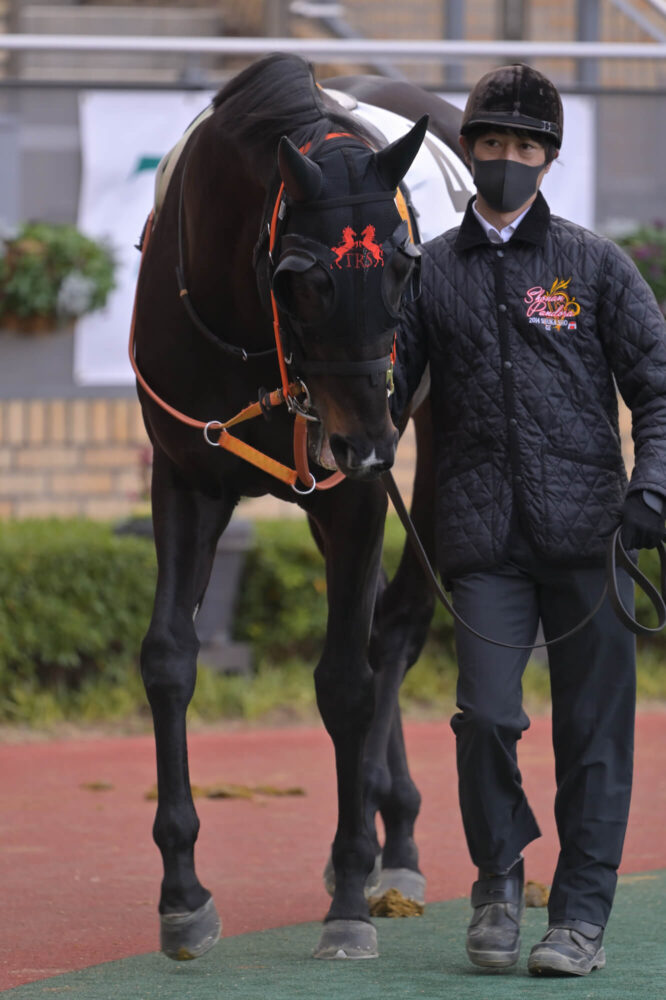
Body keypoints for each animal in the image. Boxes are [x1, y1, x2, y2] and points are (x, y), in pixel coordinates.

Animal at [130, 52, 462, 960]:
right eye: (297, 280)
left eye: (406, 265)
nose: (367, 440)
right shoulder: (188, 475)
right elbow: (169, 657)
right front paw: (182, 893)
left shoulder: (357, 495)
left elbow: (347, 680)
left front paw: (349, 890)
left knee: (399, 623)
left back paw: (393, 842)